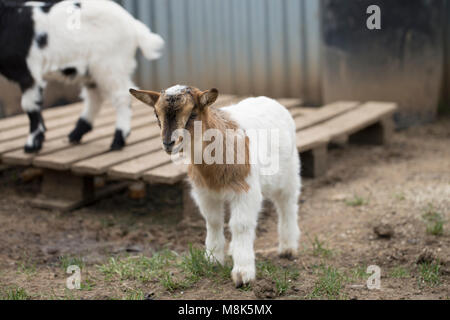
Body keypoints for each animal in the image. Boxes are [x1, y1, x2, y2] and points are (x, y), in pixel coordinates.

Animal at [0, 0, 164, 152]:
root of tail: (134, 25)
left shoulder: (28, 72)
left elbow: (29, 106)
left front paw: (32, 145)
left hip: (110, 63)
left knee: (121, 95)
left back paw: (117, 140)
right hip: (92, 70)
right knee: (94, 96)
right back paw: (76, 134)